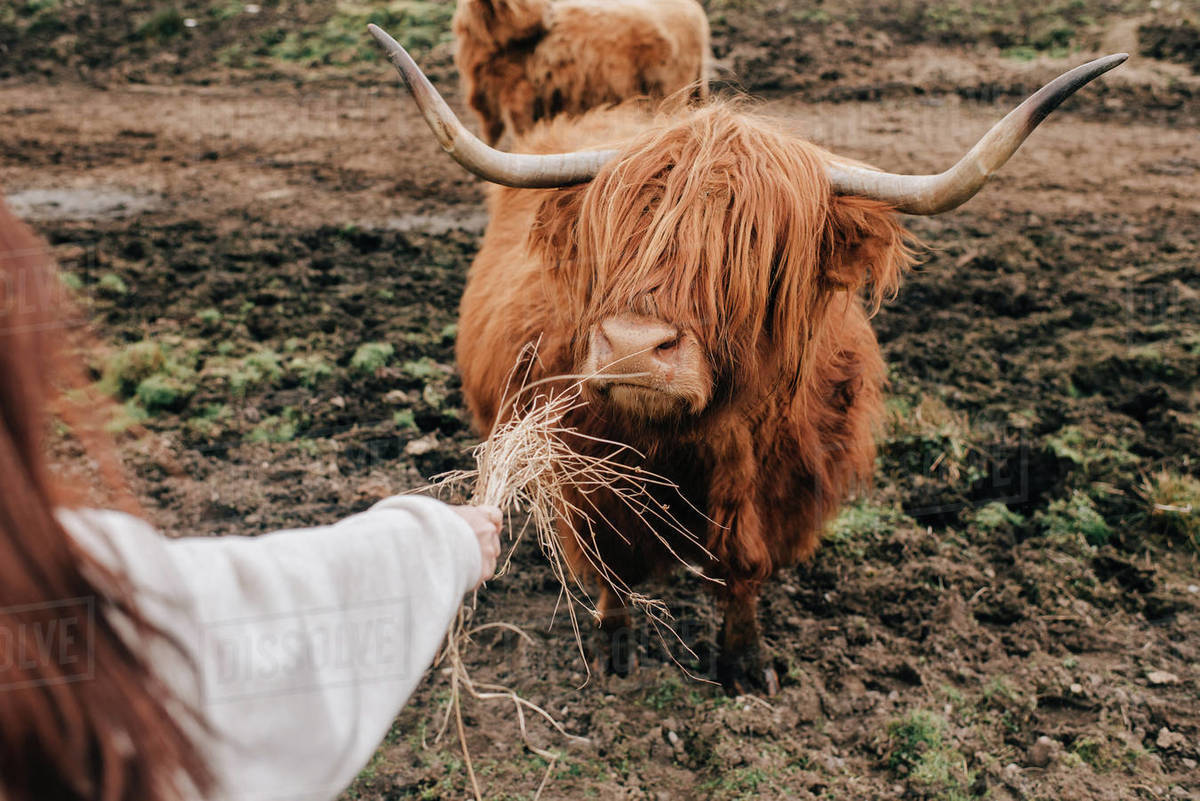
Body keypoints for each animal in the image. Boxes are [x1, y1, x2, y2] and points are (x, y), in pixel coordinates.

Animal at [369, 23, 1125, 693]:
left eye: (750, 251)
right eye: (613, 234)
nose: (634, 349)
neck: (689, 441)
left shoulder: (779, 483)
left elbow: (744, 562)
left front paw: (744, 663)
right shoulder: (584, 468)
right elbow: (611, 557)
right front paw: (615, 648)